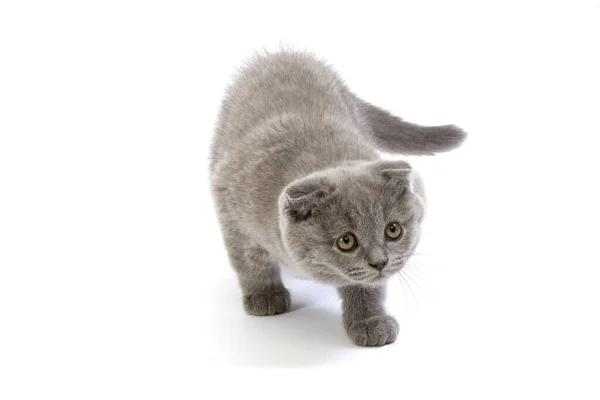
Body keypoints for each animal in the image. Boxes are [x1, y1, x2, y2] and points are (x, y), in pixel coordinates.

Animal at [209, 50, 466, 346]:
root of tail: (285, 53)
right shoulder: (231, 212)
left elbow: (366, 286)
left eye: (393, 230)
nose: (380, 262)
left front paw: (369, 323)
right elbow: (251, 261)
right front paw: (265, 297)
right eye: (346, 241)